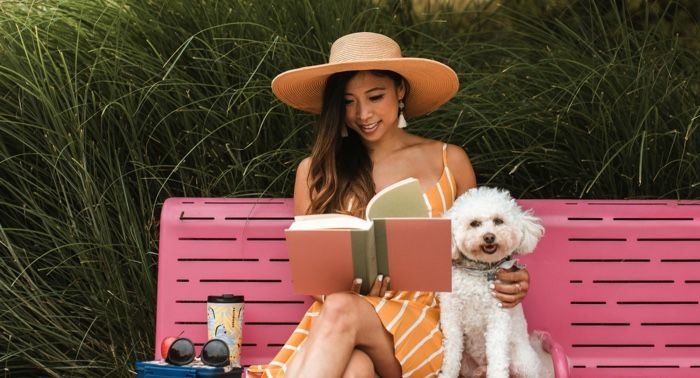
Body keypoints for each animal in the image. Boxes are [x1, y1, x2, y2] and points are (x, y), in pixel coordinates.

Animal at [440, 188, 556, 378]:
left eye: (498, 221)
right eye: (474, 223)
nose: (489, 237)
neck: (479, 272)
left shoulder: (498, 318)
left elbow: (497, 356)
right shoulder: (452, 316)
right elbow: (451, 355)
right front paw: (446, 373)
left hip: (522, 361)